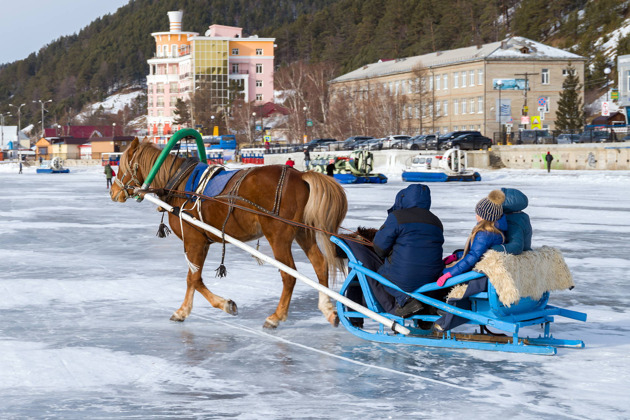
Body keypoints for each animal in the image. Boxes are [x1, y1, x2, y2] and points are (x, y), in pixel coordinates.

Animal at [110, 138, 346, 328]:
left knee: (289, 275)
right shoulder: (202, 242)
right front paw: (192, 308)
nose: (113, 191)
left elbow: (193, 278)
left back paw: (276, 316)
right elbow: (193, 279)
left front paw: (211, 306)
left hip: (278, 237)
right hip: (303, 232)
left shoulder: (194, 241)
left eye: (121, 166)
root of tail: (300, 174)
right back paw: (327, 308)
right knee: (320, 264)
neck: (178, 184)